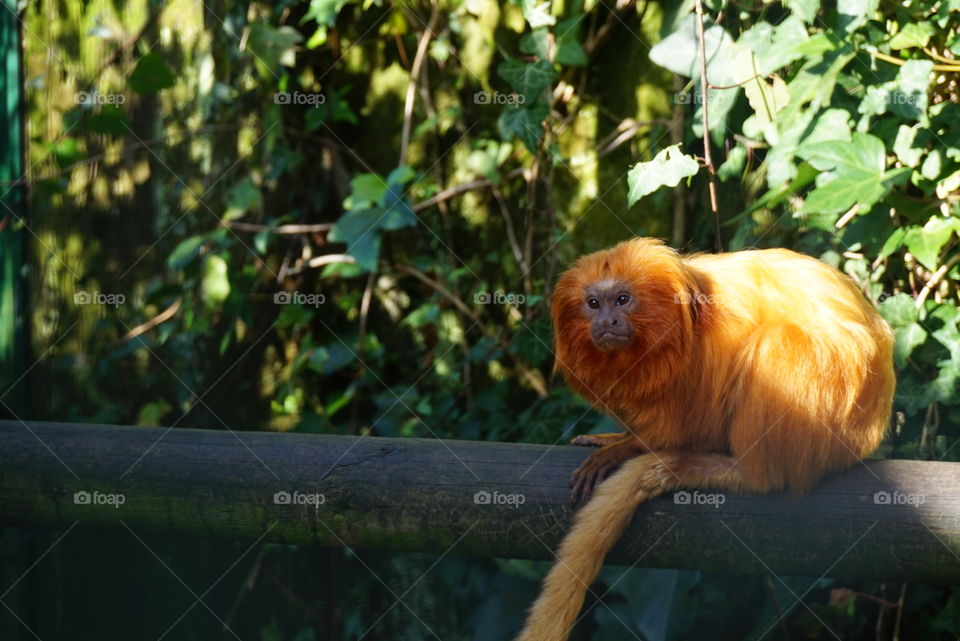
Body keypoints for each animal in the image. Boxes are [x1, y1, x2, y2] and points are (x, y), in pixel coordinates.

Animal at [516, 237, 895, 641]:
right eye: (593, 304)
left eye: (622, 300)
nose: (607, 322)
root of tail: (873, 424)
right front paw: (619, 438)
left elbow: (698, 422)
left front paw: (627, 447)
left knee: (777, 345)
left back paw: (718, 470)